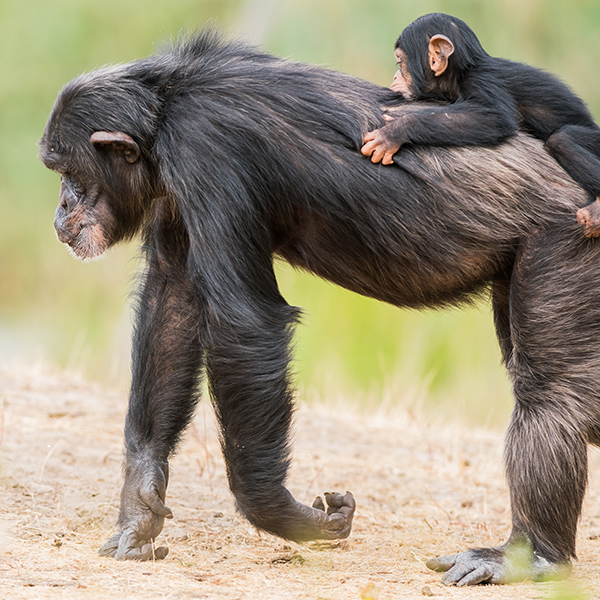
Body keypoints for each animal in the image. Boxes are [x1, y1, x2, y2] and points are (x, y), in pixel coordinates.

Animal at [364, 12, 600, 238]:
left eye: (399, 63)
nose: (395, 76)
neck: (462, 72)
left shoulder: (481, 81)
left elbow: (496, 117)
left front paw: (395, 132)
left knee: (563, 139)